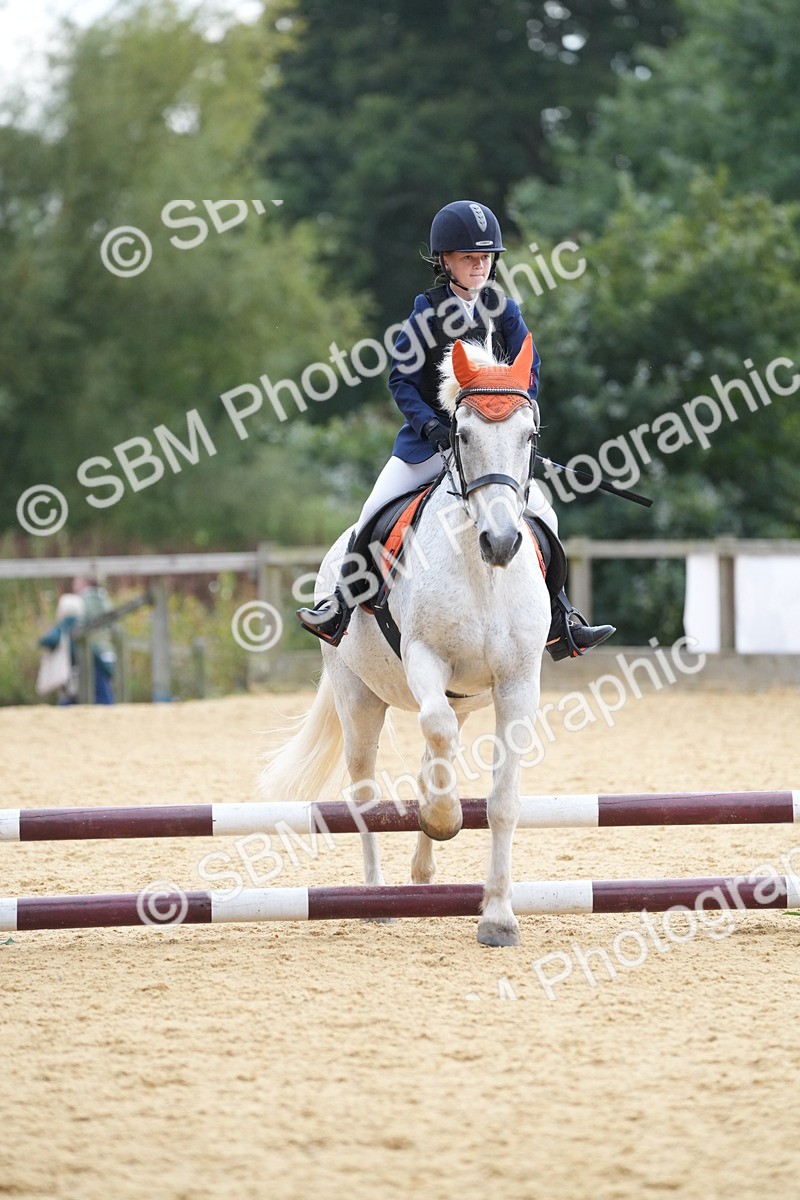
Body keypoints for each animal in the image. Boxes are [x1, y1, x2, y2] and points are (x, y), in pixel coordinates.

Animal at [261, 333, 549, 946]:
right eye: (461, 435)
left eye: (529, 436)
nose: (502, 542)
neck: (482, 574)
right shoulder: (423, 658)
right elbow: (434, 731)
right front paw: (444, 820)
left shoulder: (518, 682)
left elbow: (503, 801)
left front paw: (498, 917)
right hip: (358, 698)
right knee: (365, 794)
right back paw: (379, 898)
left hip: (462, 699)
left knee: (430, 762)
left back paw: (421, 871)